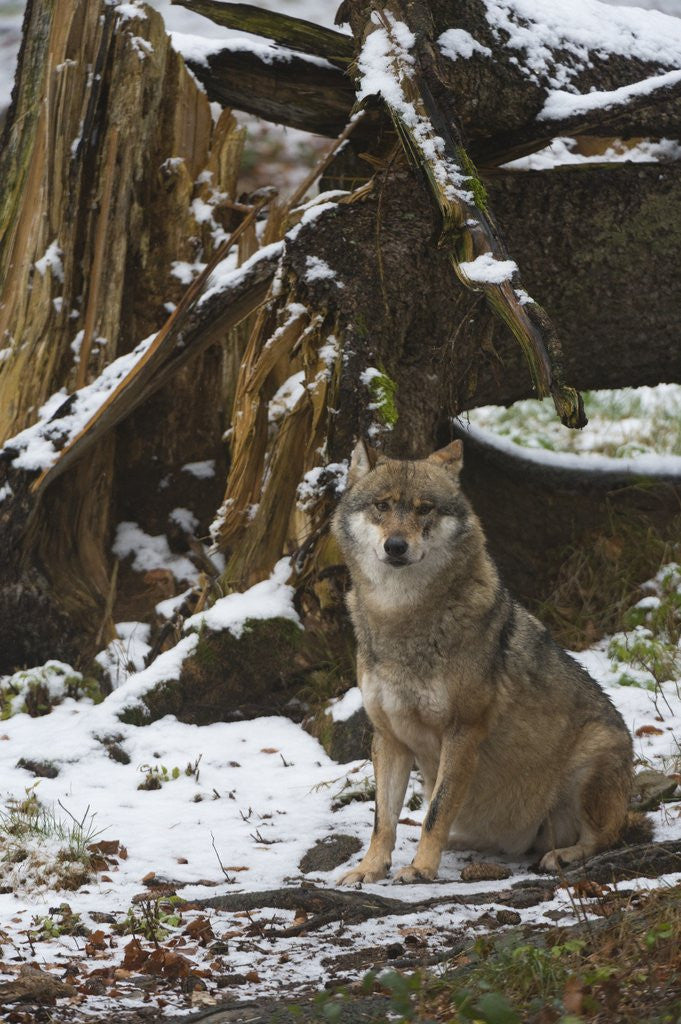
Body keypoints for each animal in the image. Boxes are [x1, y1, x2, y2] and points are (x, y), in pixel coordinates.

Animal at [331, 439, 633, 884]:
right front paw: (369, 869)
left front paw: (420, 869)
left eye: (424, 509)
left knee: (607, 837)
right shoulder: (389, 737)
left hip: (592, 758)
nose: (396, 546)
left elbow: (435, 812)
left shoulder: (463, 732)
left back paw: (562, 855)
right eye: (382, 506)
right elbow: (383, 820)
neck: (401, 617)